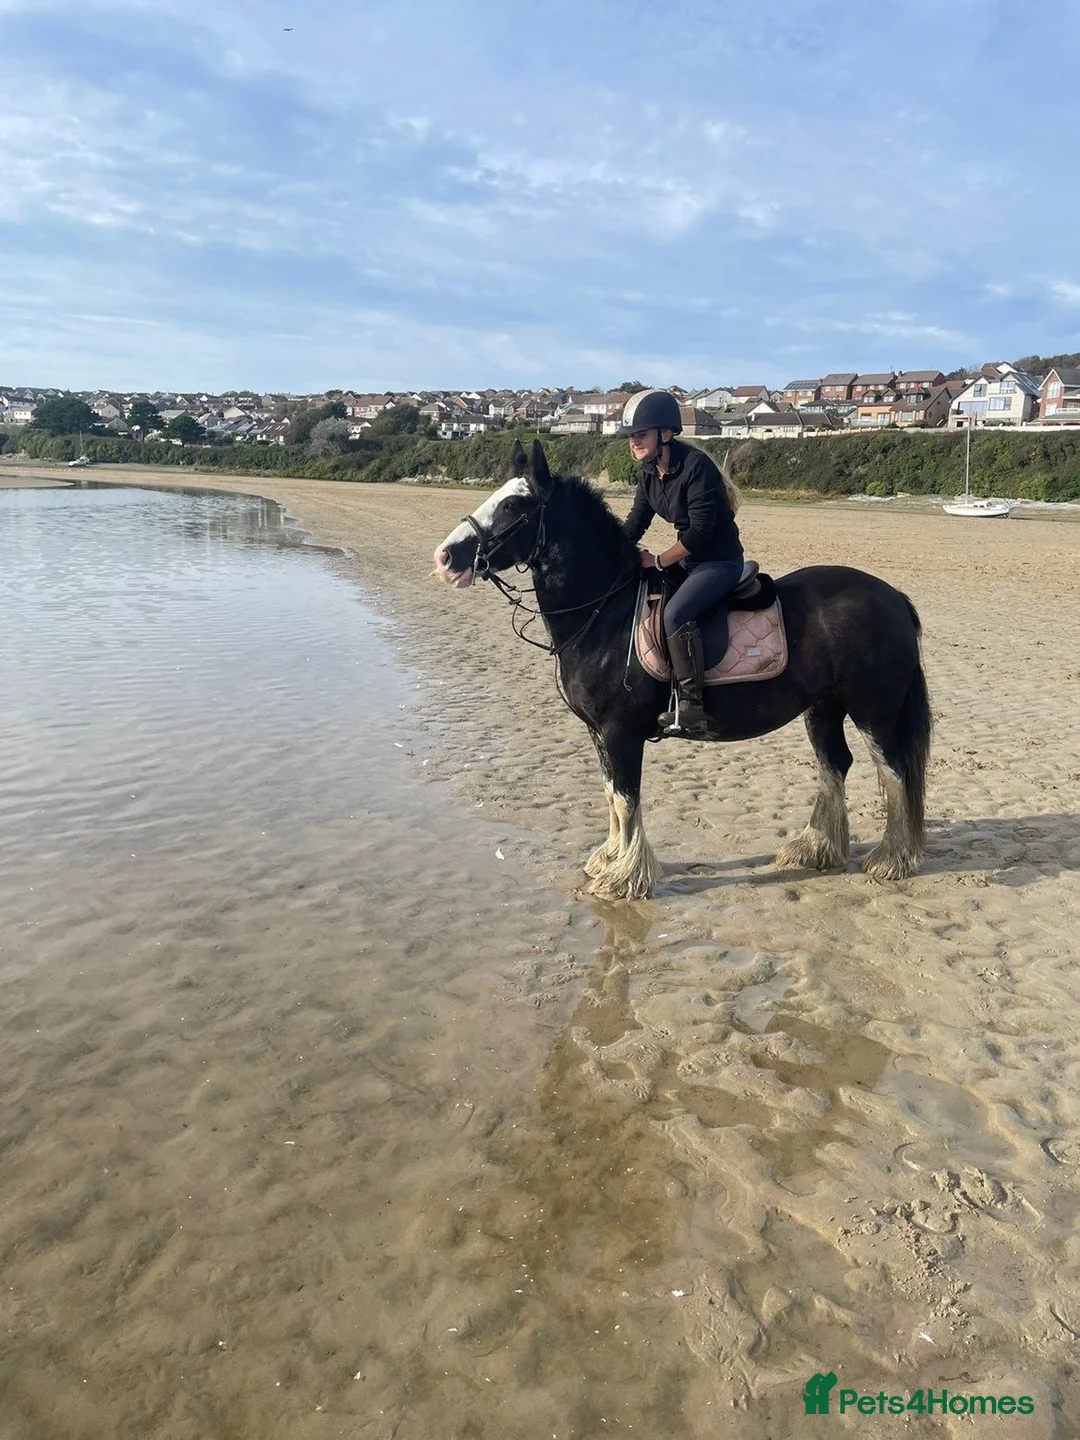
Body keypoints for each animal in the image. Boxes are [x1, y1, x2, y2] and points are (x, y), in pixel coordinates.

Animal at [433, 439, 931, 901]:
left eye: (513, 506)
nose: (445, 557)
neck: (605, 612)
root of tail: (893, 597)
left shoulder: (620, 732)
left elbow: (626, 798)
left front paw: (625, 877)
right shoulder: (599, 733)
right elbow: (611, 794)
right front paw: (609, 860)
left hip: (873, 711)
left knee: (894, 772)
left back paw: (892, 859)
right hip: (823, 708)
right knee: (835, 766)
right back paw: (816, 848)